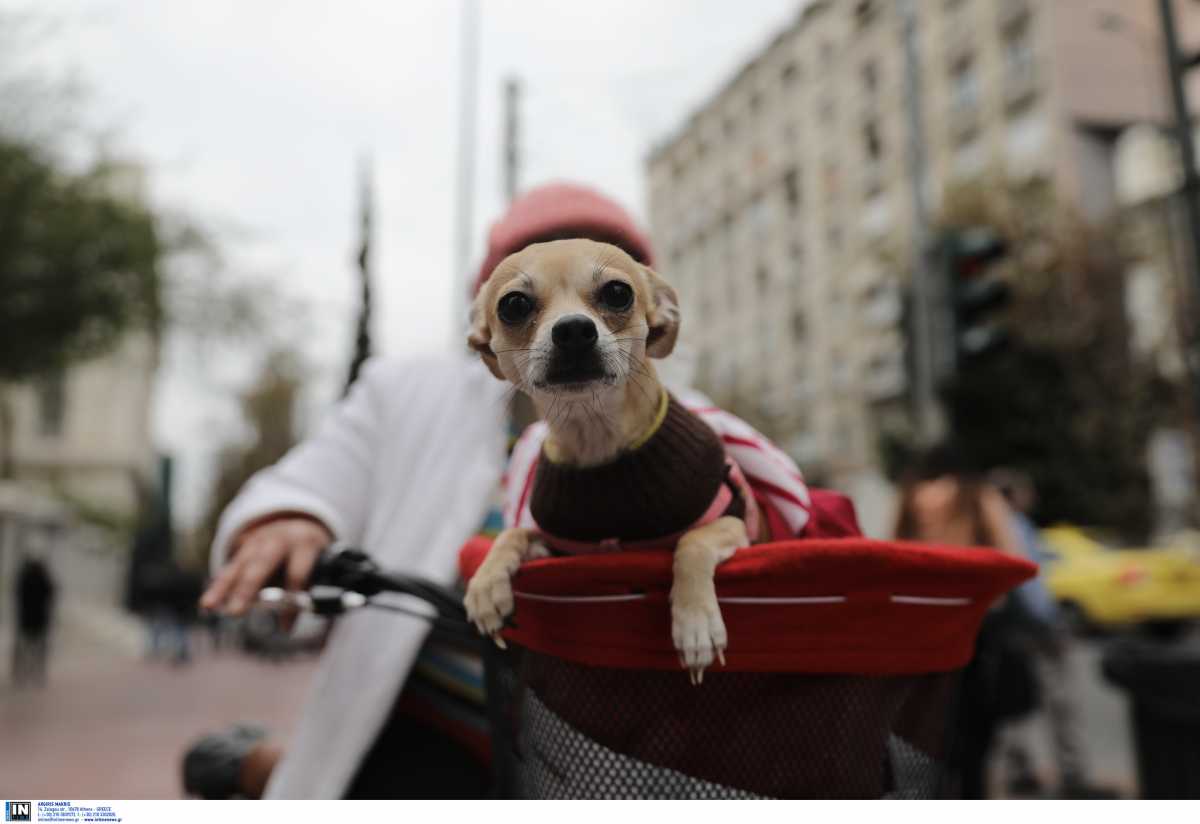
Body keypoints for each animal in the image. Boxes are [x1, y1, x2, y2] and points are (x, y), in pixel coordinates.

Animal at [463, 235, 753, 681]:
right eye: (513, 305)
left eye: (618, 293)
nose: (573, 329)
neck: (594, 436)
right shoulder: (561, 547)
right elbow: (515, 534)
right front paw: (486, 583)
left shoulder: (735, 523)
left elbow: (693, 541)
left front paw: (695, 621)